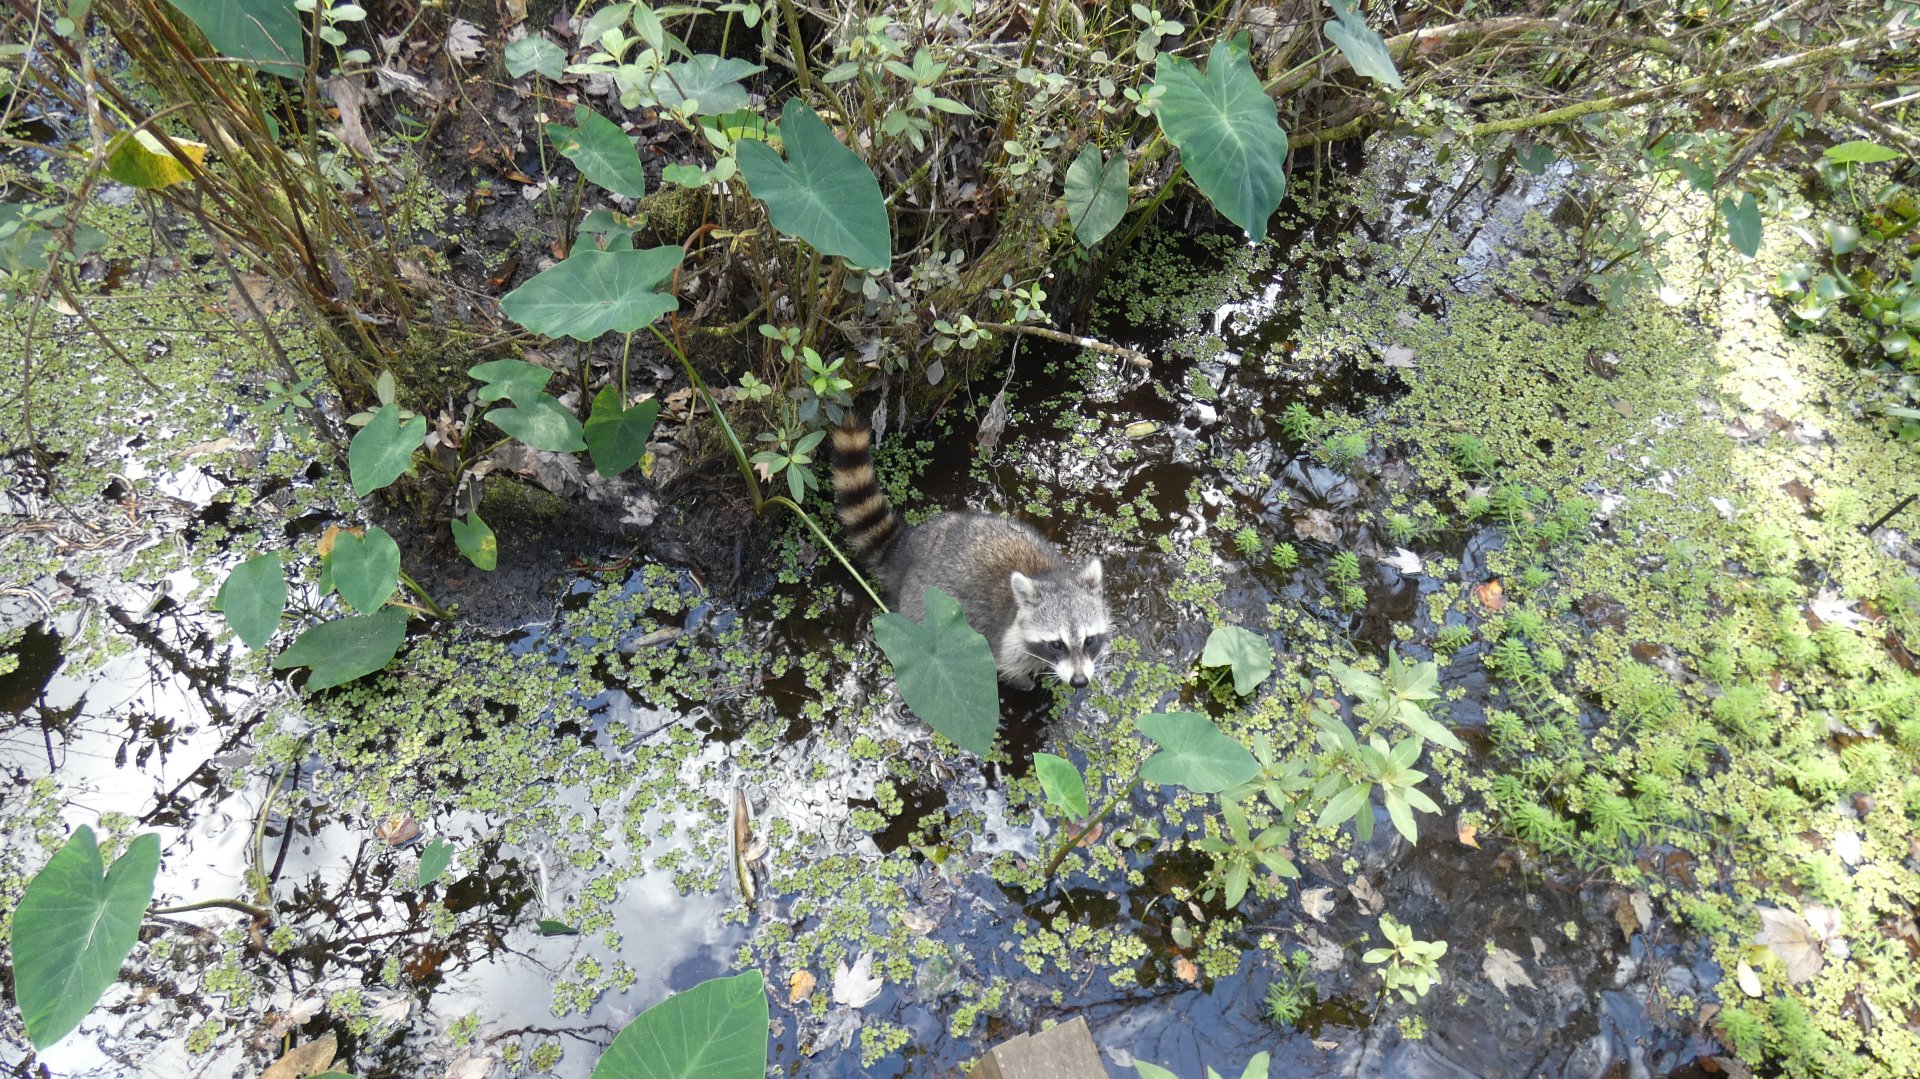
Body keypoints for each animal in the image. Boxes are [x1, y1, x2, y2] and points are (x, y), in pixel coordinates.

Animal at [829, 424, 1110, 689]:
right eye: (1056, 644)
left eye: (1089, 640)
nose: (1079, 681)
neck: (1049, 576)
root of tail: (910, 548)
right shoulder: (1004, 642)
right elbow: (1006, 667)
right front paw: (1025, 683)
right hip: (920, 608)